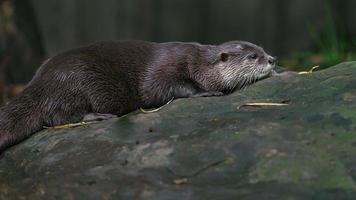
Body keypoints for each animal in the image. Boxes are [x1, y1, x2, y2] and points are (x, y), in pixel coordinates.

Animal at [0, 39, 276, 152]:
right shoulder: (163, 71)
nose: (272, 59)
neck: (198, 63)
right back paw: (97, 116)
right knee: (58, 116)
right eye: (253, 57)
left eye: (262, 50)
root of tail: (38, 82)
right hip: (75, 82)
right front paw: (206, 92)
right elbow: (165, 88)